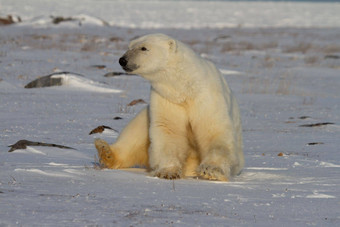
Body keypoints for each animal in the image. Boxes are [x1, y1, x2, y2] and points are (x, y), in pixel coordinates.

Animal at [95, 33, 244, 181]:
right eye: (129, 46)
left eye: (143, 48)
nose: (122, 60)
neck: (185, 86)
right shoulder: (166, 98)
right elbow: (169, 129)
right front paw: (167, 172)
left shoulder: (206, 95)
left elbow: (213, 130)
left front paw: (211, 170)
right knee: (136, 131)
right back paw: (105, 151)